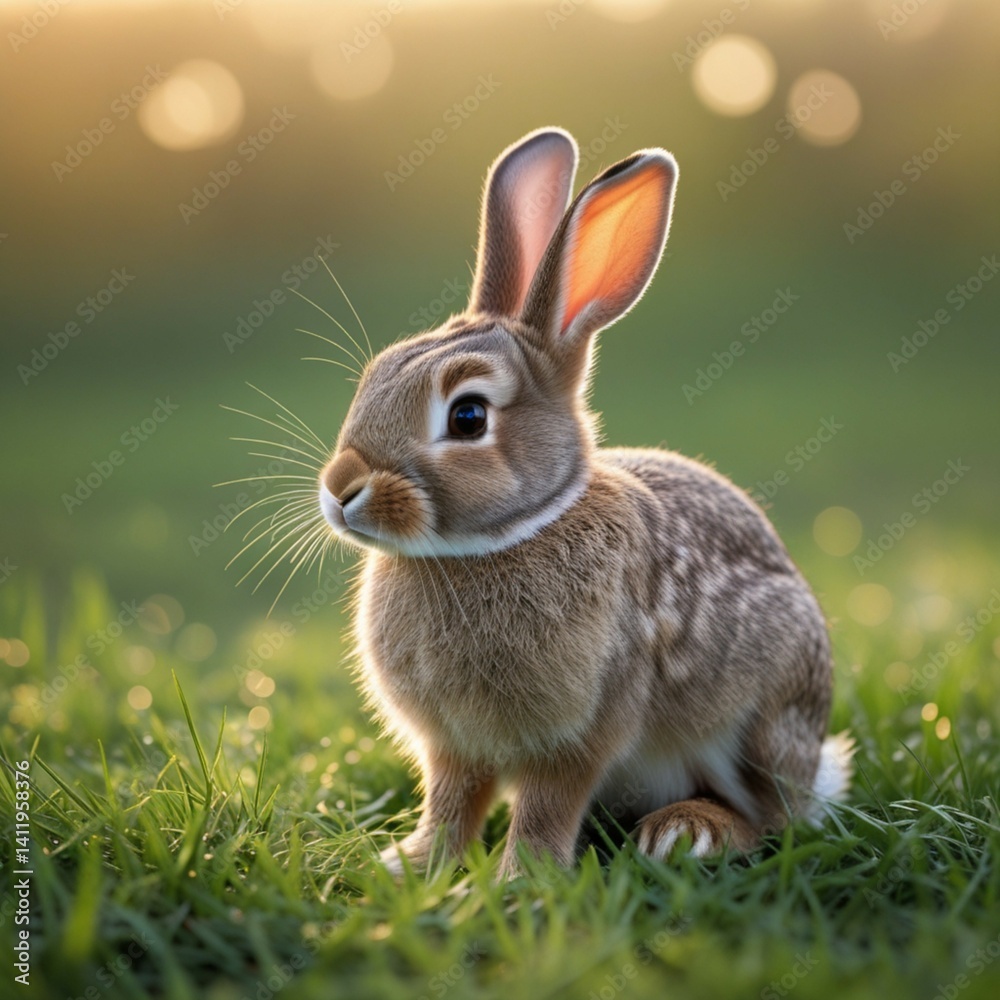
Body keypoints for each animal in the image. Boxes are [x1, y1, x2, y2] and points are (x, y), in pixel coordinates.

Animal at [318, 126, 853, 880]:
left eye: (468, 417)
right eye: (373, 377)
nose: (340, 490)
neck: (507, 537)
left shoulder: (579, 733)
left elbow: (546, 806)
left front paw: (520, 882)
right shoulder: (455, 746)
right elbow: (450, 803)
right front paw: (408, 866)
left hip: (759, 722)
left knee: (773, 818)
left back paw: (688, 832)